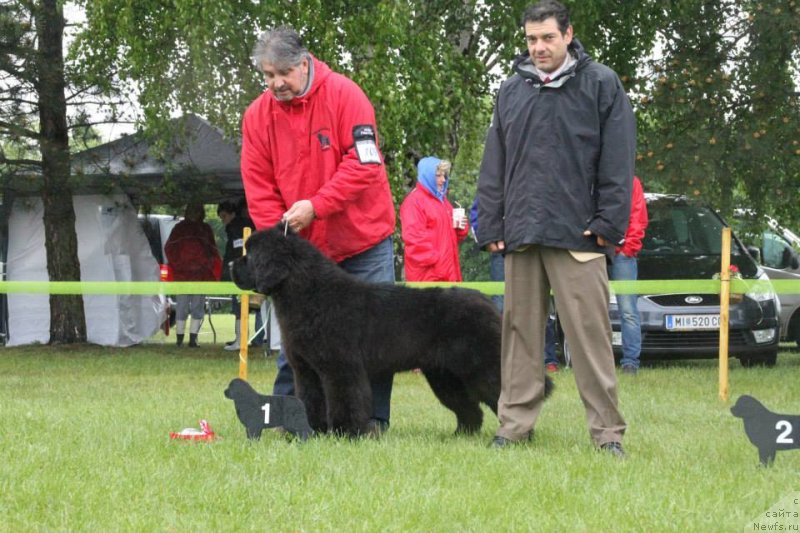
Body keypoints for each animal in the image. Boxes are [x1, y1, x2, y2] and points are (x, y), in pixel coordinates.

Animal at [231, 224, 552, 436]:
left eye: (251, 255)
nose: (233, 265)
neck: (310, 295)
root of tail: (486, 301)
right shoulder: (307, 370)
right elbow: (311, 400)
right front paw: (314, 430)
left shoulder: (340, 367)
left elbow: (345, 400)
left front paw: (346, 432)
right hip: (444, 377)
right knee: (470, 409)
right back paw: (461, 435)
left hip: (481, 366)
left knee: (501, 393)